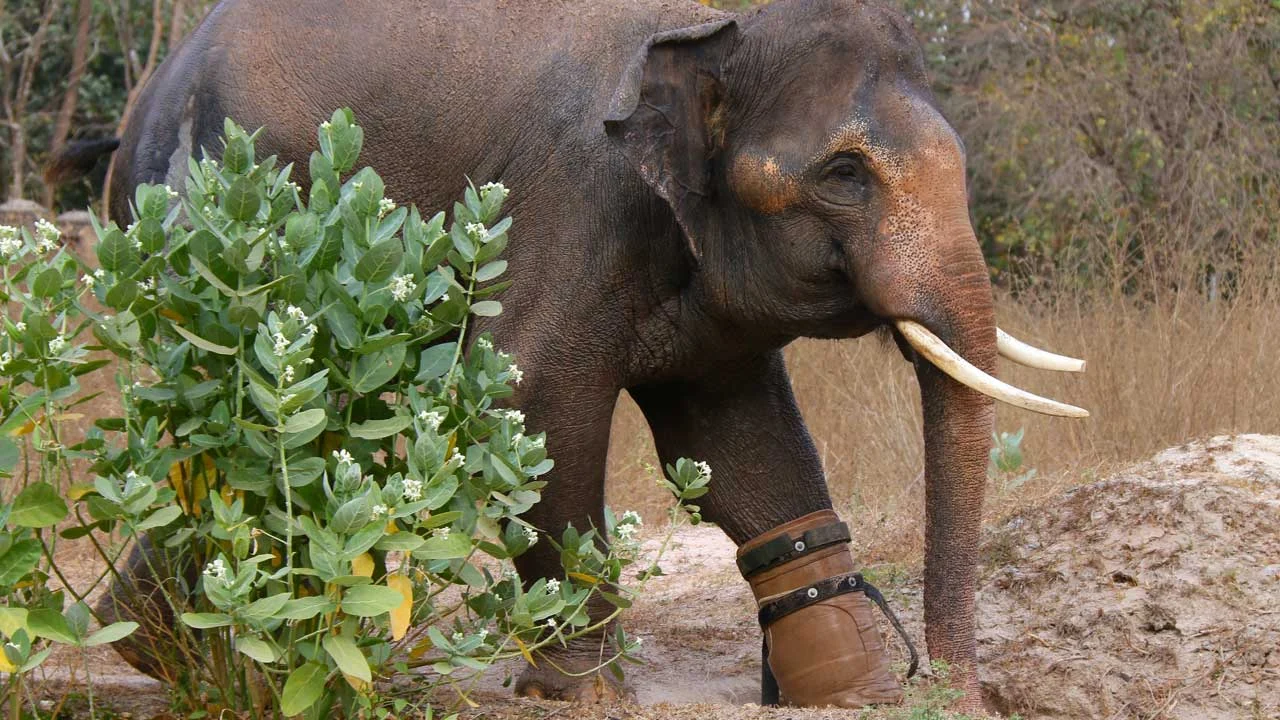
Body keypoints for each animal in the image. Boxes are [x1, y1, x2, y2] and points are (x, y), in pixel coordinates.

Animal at [62, 0, 1089, 709]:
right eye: (844, 174)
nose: (952, 693)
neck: (712, 33)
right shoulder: (574, 201)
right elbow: (536, 396)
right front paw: (586, 692)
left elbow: (741, 444)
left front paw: (850, 686)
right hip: (197, 218)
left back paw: (167, 650)